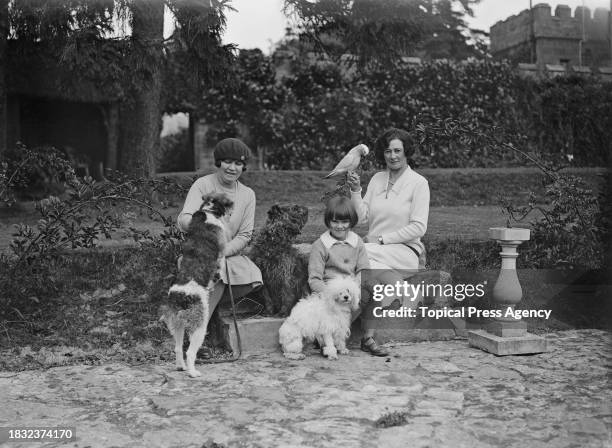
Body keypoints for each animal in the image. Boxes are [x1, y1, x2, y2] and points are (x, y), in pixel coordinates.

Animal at [159, 191, 233, 376]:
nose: (231, 210)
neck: (208, 211)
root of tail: (181, 296)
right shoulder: (222, 252)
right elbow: (221, 262)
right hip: (199, 325)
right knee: (190, 352)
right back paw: (193, 372)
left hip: (177, 323)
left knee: (178, 348)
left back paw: (181, 367)